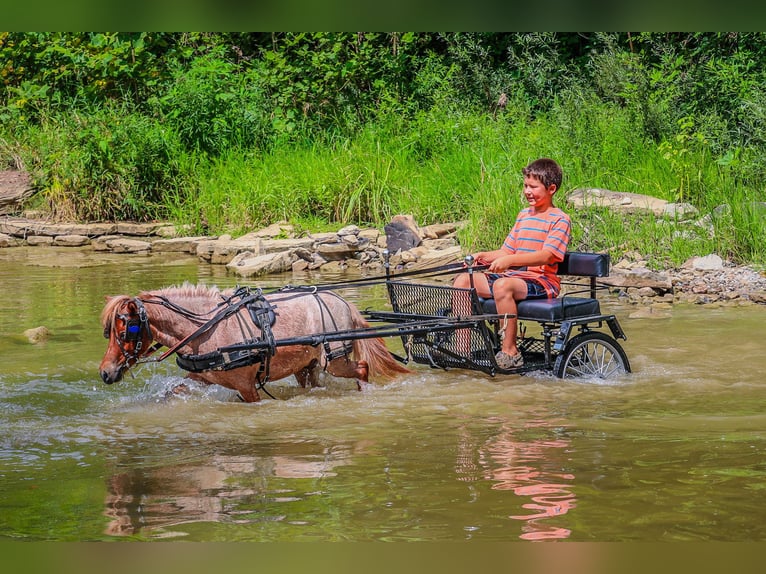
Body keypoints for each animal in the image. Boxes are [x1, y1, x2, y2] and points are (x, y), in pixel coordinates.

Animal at [99, 284, 412, 402]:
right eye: (108, 333)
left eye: (126, 332)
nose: (105, 372)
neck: (208, 327)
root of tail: (343, 301)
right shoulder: (202, 377)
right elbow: (171, 393)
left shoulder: (247, 386)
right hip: (307, 365)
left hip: (333, 360)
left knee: (361, 368)